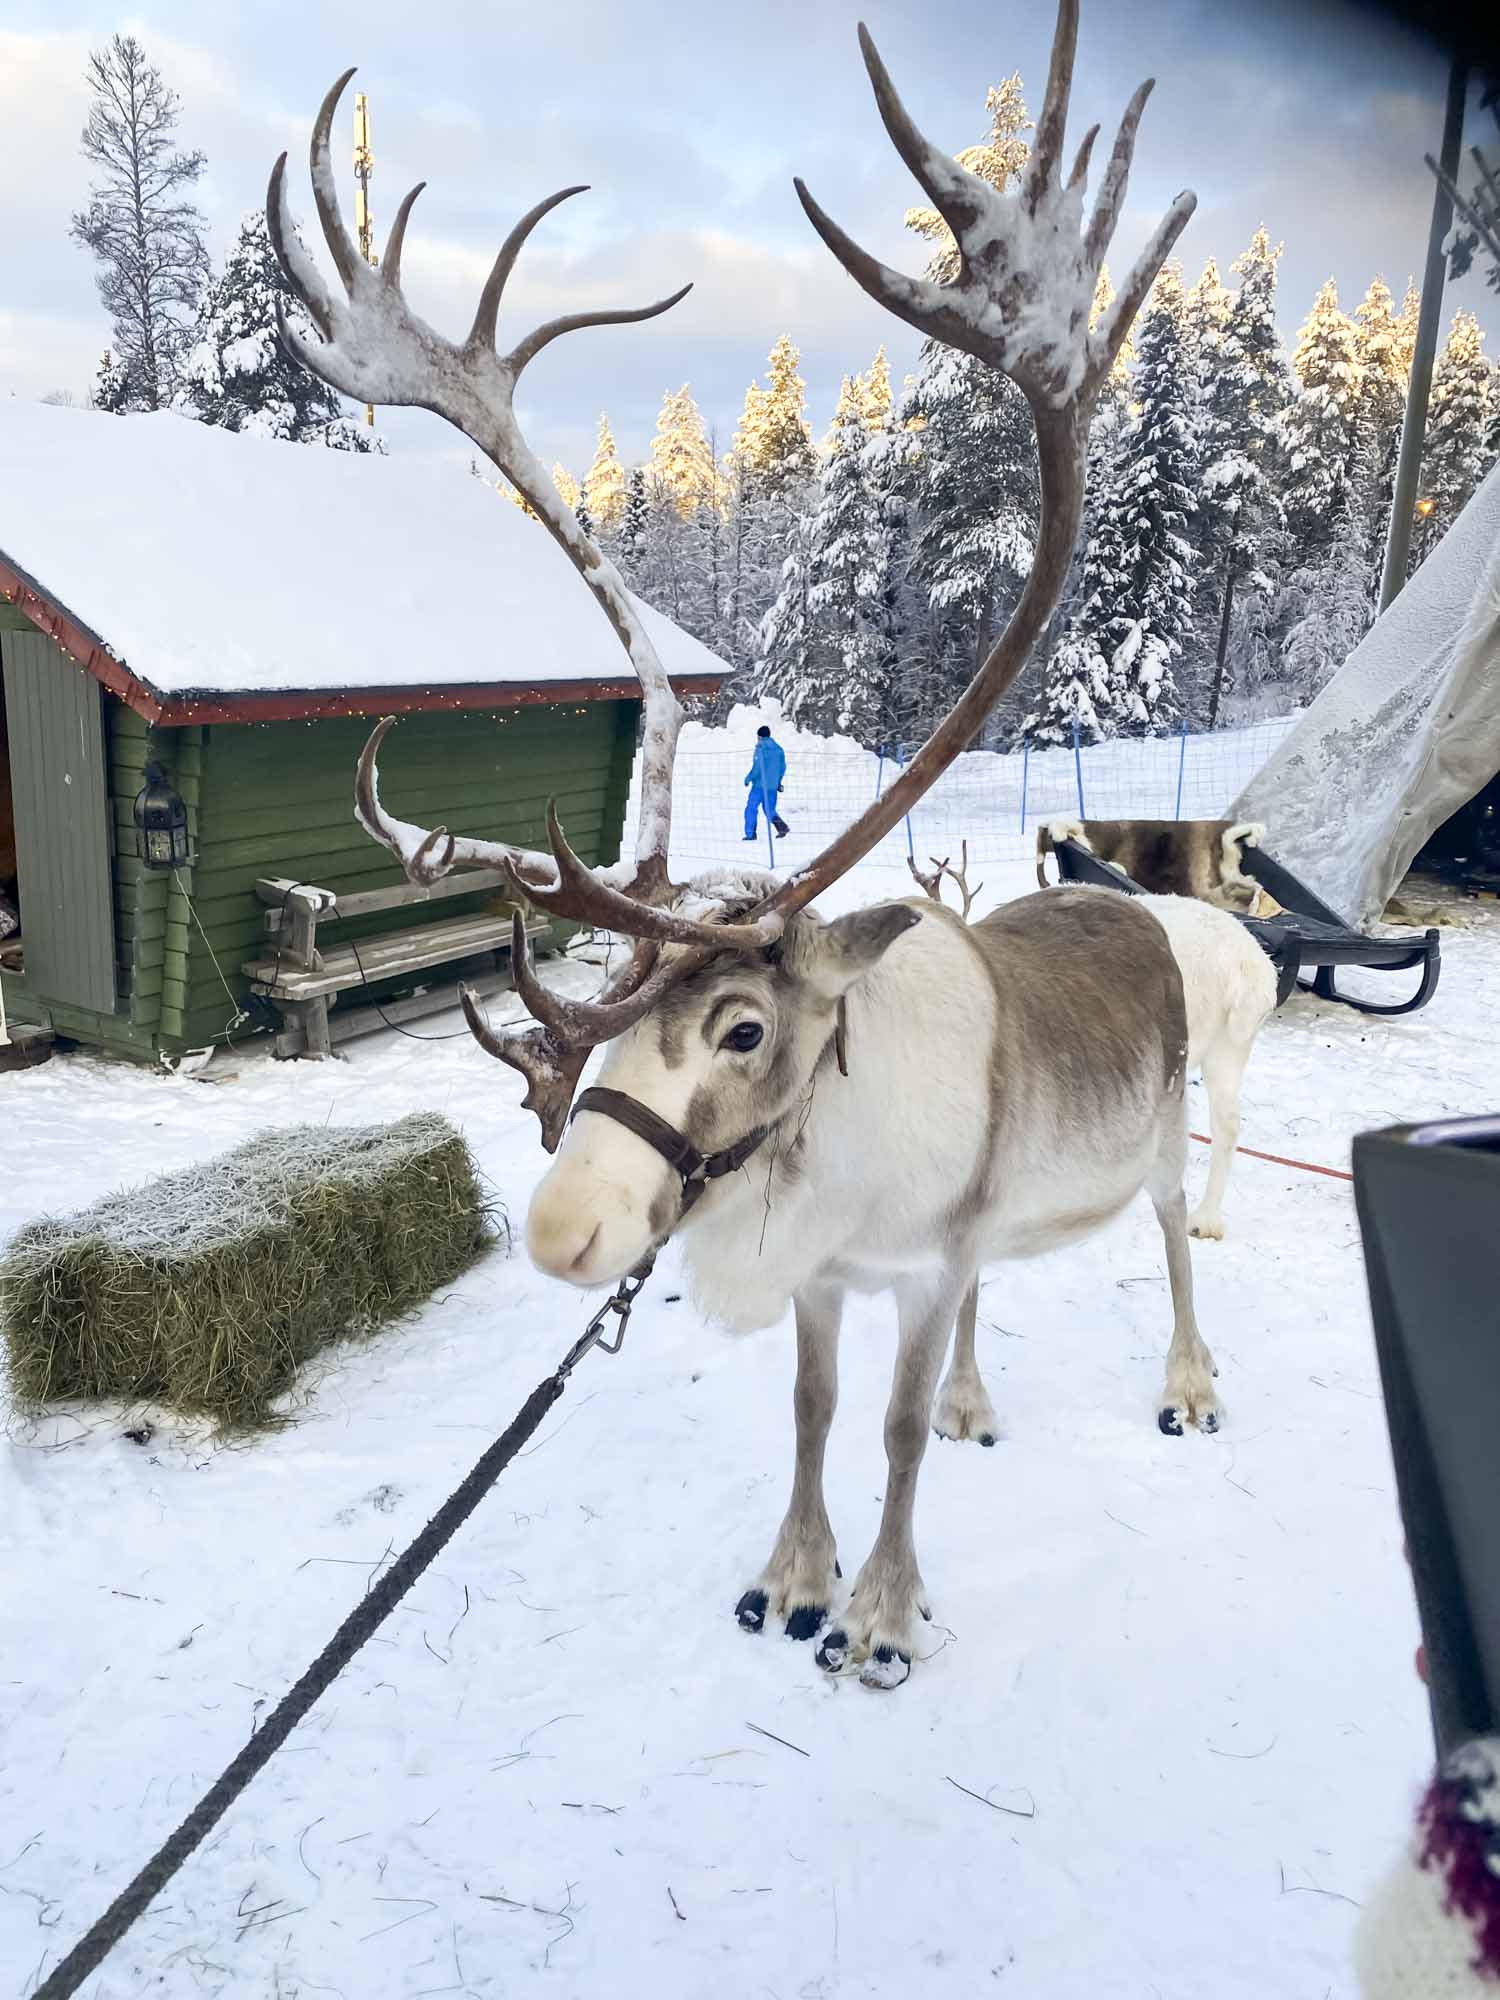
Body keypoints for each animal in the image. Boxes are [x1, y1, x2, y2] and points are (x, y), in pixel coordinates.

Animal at [271, 0, 1201, 1689]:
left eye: (745, 1024)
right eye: (588, 1015)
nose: (561, 1231)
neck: (840, 1169)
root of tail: (1116, 898)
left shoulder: (923, 1259)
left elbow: (891, 1429)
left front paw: (884, 1615)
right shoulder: (840, 1279)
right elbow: (820, 1412)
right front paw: (793, 1577)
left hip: (1166, 1142)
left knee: (1172, 1240)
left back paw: (1190, 1379)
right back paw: (988, 1398)